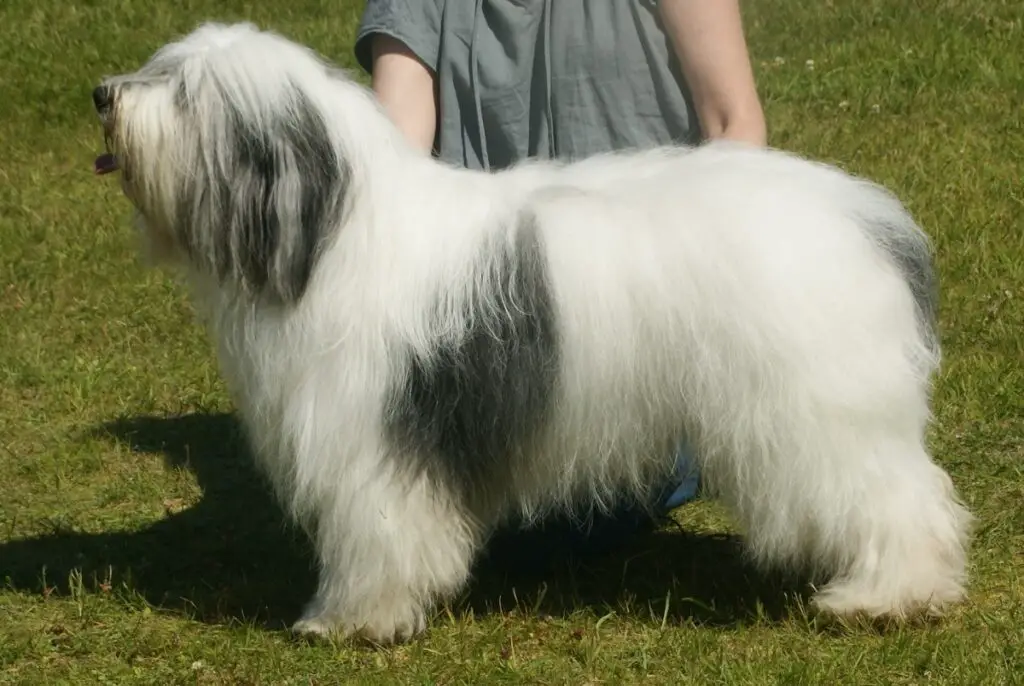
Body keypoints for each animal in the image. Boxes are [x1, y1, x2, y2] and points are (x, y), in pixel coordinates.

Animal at [92, 21, 970, 647]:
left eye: (182, 91)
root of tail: (871, 220)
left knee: (898, 497)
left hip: (816, 411)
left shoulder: (374, 437)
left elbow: (377, 529)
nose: (101, 93)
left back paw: (885, 597)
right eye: (160, 68)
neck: (328, 233)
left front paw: (350, 621)